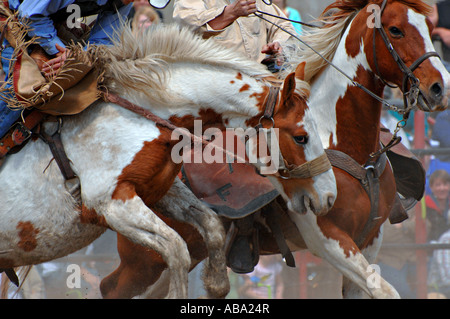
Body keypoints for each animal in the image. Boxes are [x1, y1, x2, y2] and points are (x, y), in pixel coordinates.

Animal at [0, 24, 338, 300]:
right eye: (301, 137)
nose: (329, 196)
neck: (142, 111)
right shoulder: (111, 203)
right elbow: (176, 248)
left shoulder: (160, 189)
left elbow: (211, 226)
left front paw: (216, 285)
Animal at [100, 0, 448, 300]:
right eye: (395, 30)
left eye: (430, 27)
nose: (439, 88)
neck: (339, 140)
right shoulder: (328, 238)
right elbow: (386, 290)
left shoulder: (371, 239)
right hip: (143, 258)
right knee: (111, 287)